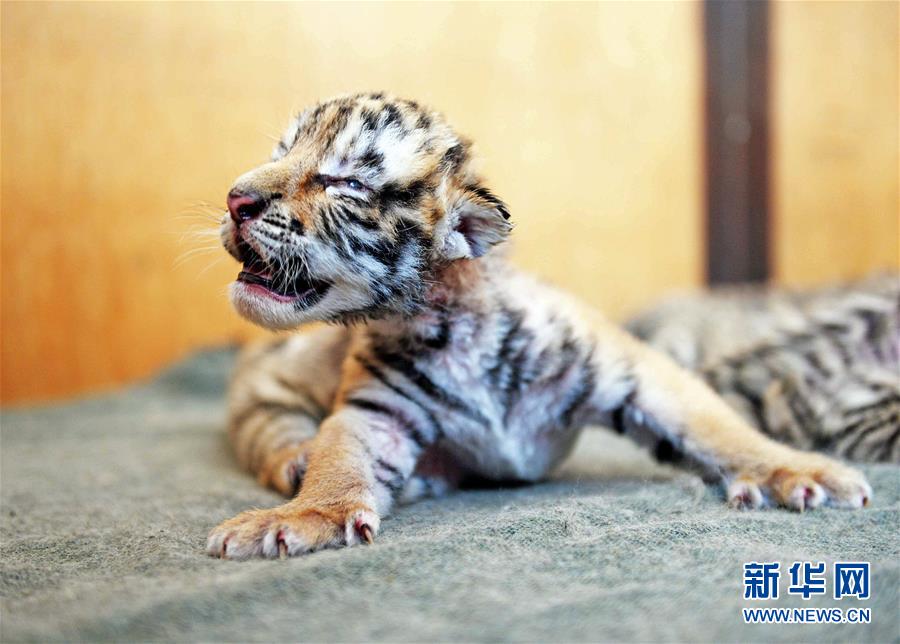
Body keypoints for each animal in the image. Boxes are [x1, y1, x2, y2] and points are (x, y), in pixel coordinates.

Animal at [207, 93, 872, 560]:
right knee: (276, 436)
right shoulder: (376, 410)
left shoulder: (635, 370)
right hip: (261, 400)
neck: (443, 322)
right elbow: (338, 460)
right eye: (280, 155)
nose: (236, 198)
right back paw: (304, 461)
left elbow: (721, 427)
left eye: (345, 181)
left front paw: (804, 471)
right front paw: (301, 516)